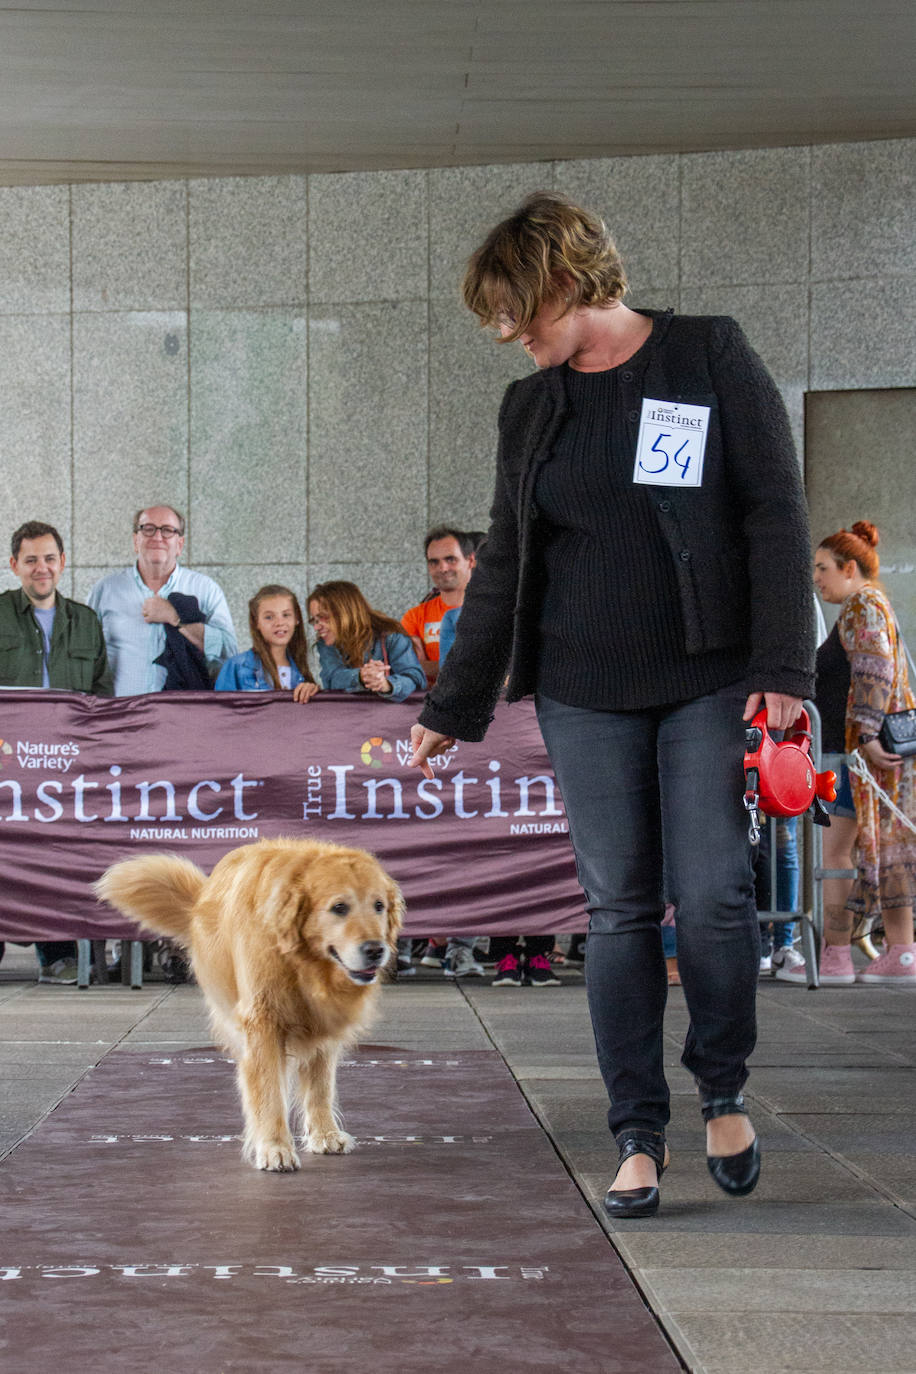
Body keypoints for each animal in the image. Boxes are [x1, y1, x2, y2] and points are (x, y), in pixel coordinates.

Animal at [94, 835, 403, 1170]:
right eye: (339, 907)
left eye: (379, 906)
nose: (375, 950)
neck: (300, 962)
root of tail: (201, 897)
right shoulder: (262, 1021)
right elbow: (269, 1091)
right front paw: (274, 1147)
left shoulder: (323, 1023)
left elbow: (321, 1088)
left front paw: (325, 1134)